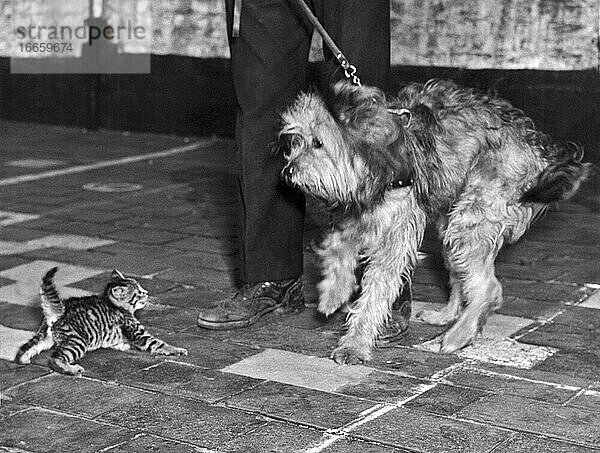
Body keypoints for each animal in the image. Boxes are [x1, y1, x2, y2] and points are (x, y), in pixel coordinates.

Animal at [15, 266, 188, 376]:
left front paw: (123, 345)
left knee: (28, 347)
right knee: (54, 358)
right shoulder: (138, 334)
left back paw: (23, 359)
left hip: (45, 337)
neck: (116, 305)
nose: (146, 292)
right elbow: (159, 343)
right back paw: (71, 369)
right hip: (77, 341)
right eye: (138, 293)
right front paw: (176, 350)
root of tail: (59, 313)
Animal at [278, 80, 588, 364]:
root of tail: (535, 145)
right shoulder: (356, 216)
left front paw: (354, 345)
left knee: (489, 289)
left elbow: (375, 294)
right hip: (450, 228)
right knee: (463, 278)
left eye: (318, 143)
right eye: (296, 141)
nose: (288, 171)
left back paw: (458, 335)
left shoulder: (395, 234)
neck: (377, 160)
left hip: (469, 220)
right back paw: (446, 316)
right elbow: (337, 248)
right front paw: (333, 293)